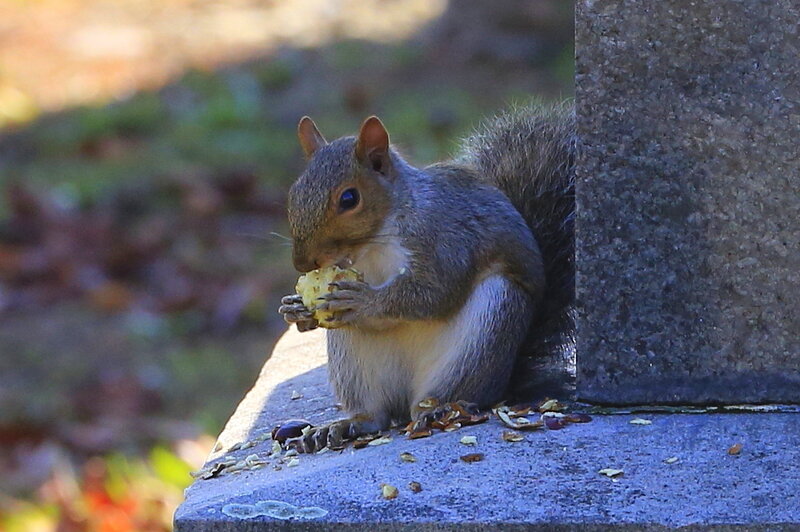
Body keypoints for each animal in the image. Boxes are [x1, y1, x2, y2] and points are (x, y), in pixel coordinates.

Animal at [278, 102, 575, 452]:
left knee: (444, 396)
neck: (375, 241)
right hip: (352, 361)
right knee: (375, 414)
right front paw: (295, 309)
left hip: (486, 327)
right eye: (294, 193)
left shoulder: (446, 239)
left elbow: (433, 293)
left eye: (349, 199)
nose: (301, 262)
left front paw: (364, 302)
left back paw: (438, 409)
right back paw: (346, 424)